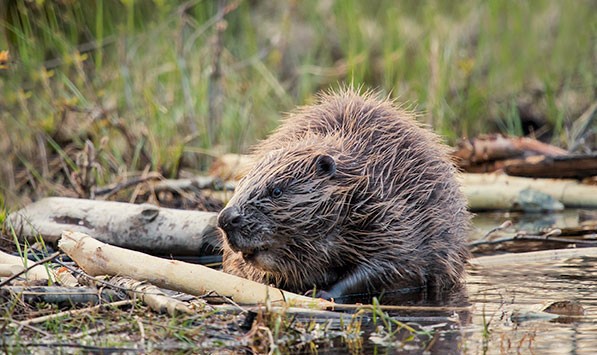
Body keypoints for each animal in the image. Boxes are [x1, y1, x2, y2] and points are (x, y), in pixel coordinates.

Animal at [215, 87, 470, 298]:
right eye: (241, 184)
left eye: (276, 190)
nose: (226, 219)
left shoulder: (393, 216)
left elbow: (390, 264)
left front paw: (323, 293)